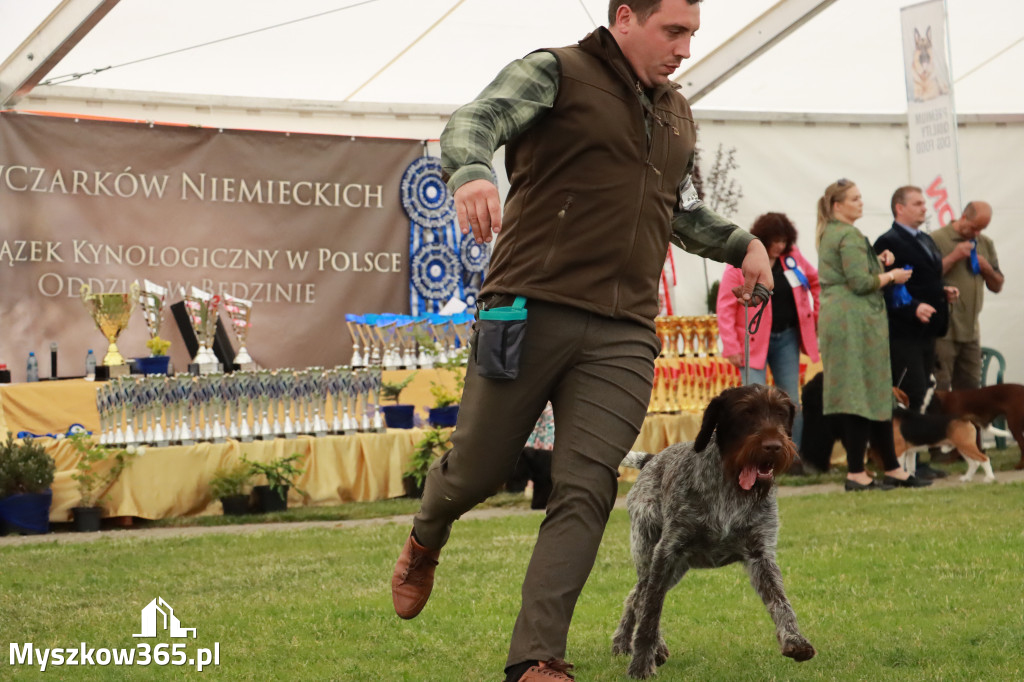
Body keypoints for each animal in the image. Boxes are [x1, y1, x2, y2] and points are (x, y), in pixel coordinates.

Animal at [606, 385, 815, 675]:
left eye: (781, 413)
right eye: (746, 412)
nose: (773, 446)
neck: (731, 487)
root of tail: (652, 458)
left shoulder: (761, 555)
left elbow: (781, 602)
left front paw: (794, 639)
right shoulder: (667, 551)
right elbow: (650, 614)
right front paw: (640, 665)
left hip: (676, 568)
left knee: (634, 596)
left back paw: (626, 642)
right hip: (651, 554)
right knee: (641, 596)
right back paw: (639, 646)